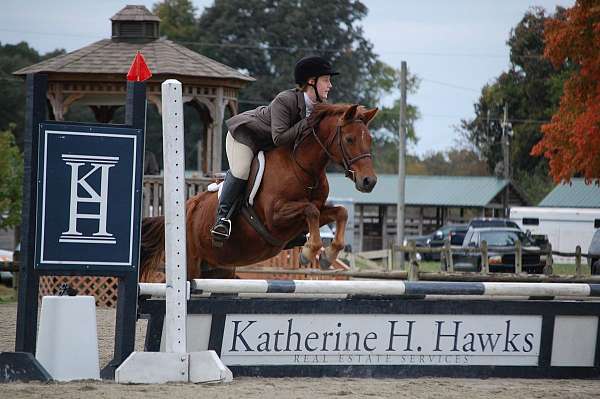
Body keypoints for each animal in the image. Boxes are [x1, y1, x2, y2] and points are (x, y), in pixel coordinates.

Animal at [138, 103, 378, 282]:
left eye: (369, 139)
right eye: (349, 139)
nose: (369, 181)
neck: (303, 168)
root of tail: (185, 208)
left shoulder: (307, 216)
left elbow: (339, 212)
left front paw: (328, 255)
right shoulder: (275, 217)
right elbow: (311, 210)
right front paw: (309, 252)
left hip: (219, 269)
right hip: (190, 266)